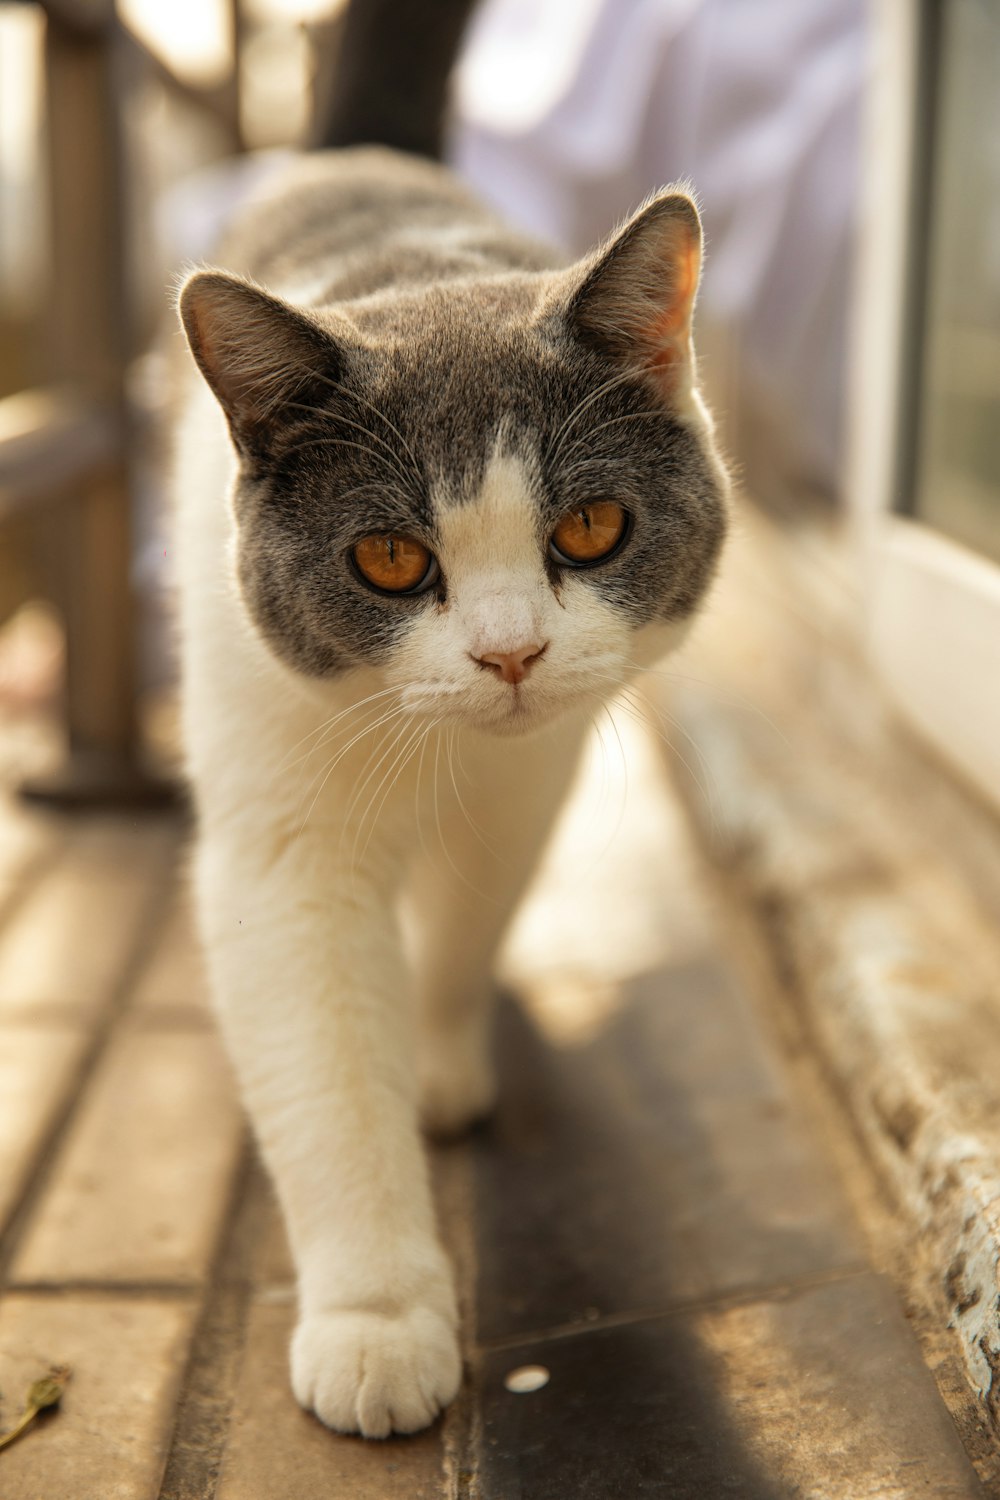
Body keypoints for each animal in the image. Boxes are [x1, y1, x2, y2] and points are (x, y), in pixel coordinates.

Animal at [173, 0, 728, 1440]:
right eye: (387, 559)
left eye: (590, 528)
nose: (511, 653)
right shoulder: (281, 829)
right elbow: (323, 1065)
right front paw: (376, 1325)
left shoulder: (529, 788)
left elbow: (467, 924)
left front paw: (435, 1069)